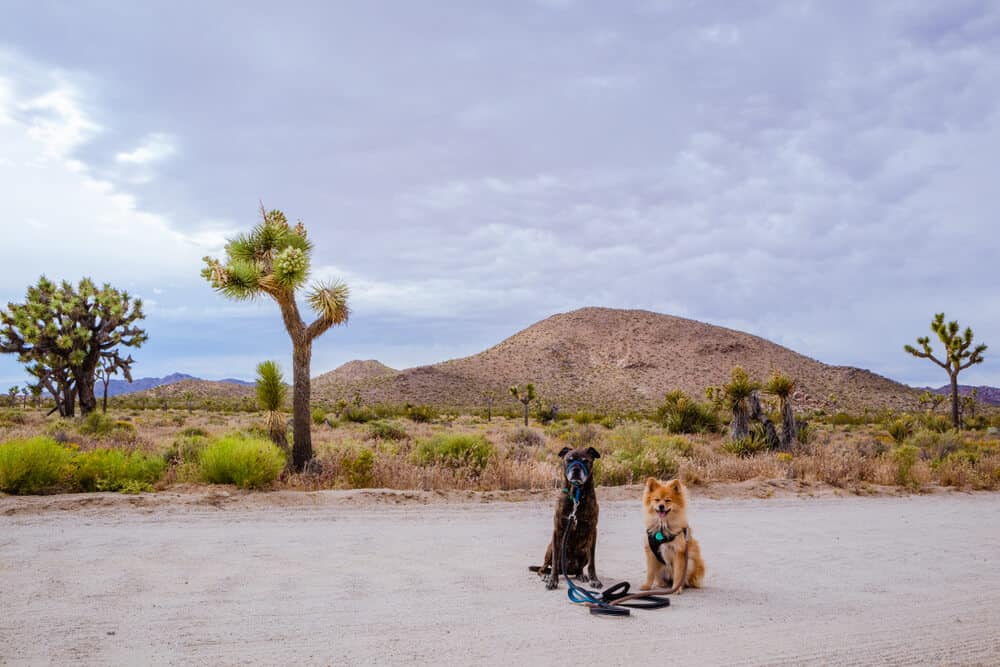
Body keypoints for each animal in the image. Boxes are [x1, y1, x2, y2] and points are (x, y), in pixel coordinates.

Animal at [532, 448, 600, 588]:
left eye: (585, 461)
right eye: (569, 459)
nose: (576, 470)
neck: (576, 495)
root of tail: (567, 570)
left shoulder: (593, 530)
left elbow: (592, 562)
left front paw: (594, 579)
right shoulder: (557, 530)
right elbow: (554, 564)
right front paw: (552, 580)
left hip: (584, 551)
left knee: (579, 568)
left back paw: (581, 575)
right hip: (550, 549)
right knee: (544, 568)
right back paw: (545, 575)